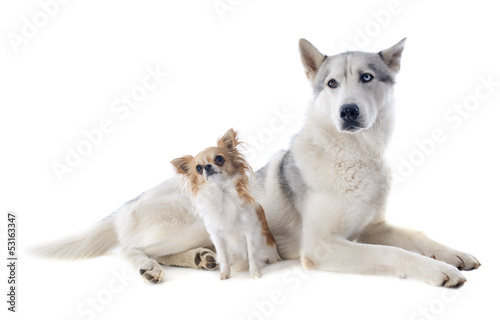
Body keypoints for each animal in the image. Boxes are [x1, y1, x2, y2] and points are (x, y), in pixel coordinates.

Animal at [41, 38, 478, 286]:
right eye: (332, 84)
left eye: (367, 78)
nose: (349, 112)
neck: (354, 155)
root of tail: (129, 202)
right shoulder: (322, 246)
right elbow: (395, 255)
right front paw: (439, 272)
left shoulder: (372, 228)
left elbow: (416, 238)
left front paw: (452, 254)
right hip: (194, 220)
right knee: (130, 248)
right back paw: (150, 267)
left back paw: (200, 259)